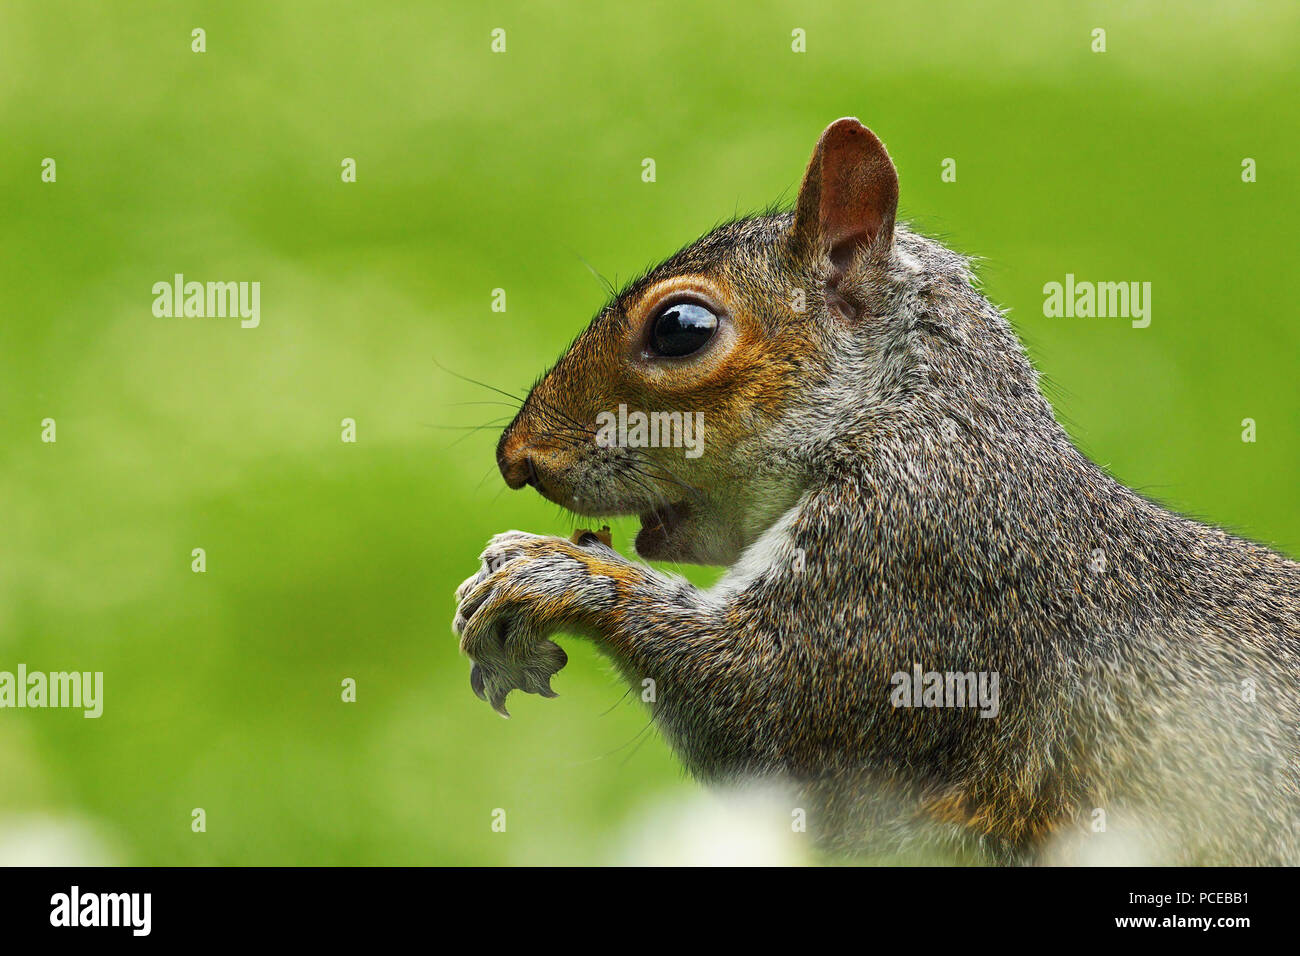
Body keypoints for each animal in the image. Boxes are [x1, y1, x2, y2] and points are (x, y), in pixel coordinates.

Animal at [454, 119, 1300, 868]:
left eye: (680, 327)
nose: (515, 459)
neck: (909, 417)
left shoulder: (913, 565)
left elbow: (762, 705)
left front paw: (555, 572)